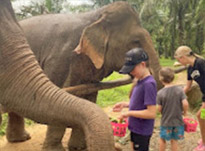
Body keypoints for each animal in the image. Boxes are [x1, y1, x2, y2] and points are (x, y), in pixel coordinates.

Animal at [1, 1, 162, 151]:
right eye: (136, 41)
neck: (95, 16)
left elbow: (89, 95)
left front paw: (79, 147)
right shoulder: (60, 59)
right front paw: (57, 149)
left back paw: (21, 139)